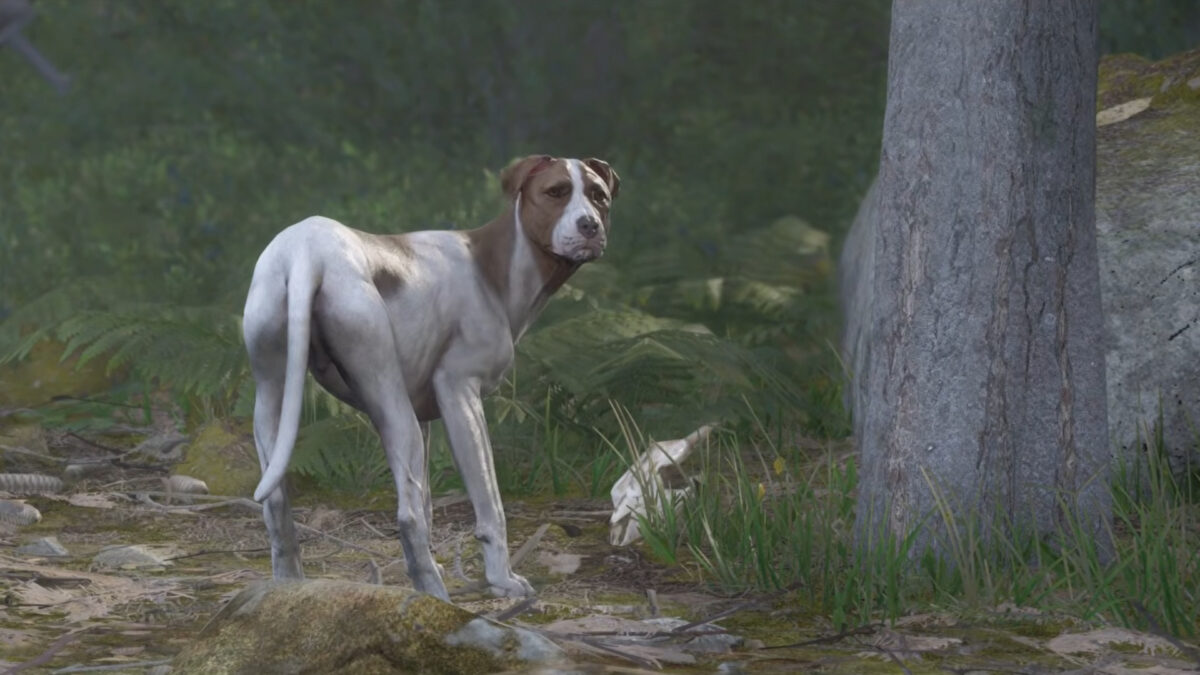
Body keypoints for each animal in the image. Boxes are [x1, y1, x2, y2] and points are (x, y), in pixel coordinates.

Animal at [242, 154, 619, 595]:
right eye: (556, 191)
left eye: (598, 195)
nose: (589, 225)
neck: (493, 267)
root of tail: (305, 250)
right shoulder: (460, 396)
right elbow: (489, 506)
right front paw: (502, 580)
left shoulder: (425, 423)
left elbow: (427, 509)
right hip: (392, 409)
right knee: (406, 516)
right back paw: (438, 597)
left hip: (273, 400)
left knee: (278, 503)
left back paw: (290, 588)